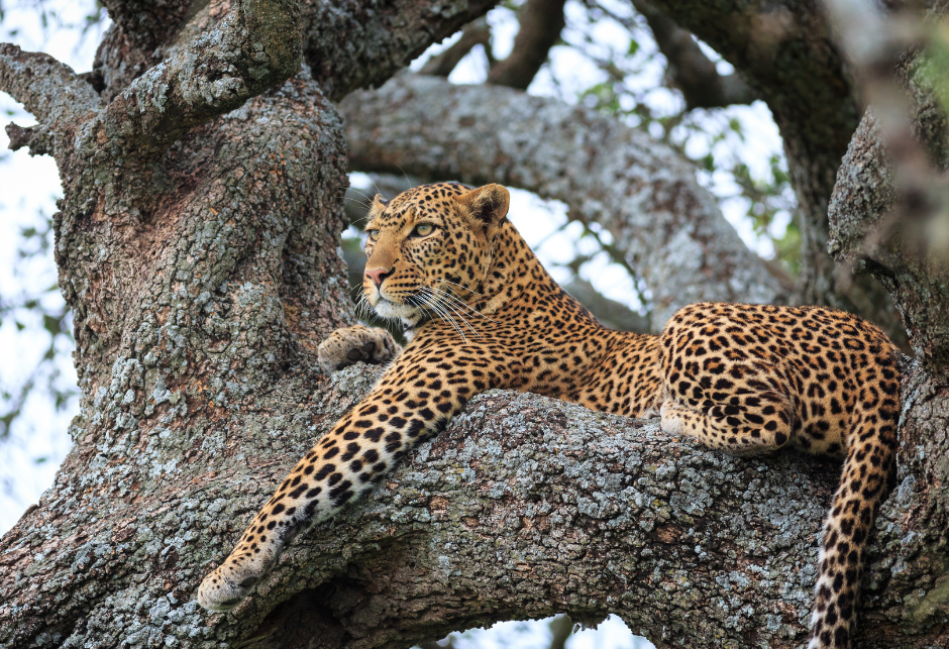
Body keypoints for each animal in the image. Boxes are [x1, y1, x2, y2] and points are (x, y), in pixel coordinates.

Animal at [198, 180, 896, 644]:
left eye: (422, 232)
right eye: (374, 234)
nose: (371, 275)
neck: (493, 285)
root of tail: (882, 346)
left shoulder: (405, 397)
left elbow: (304, 474)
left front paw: (230, 569)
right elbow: (376, 347)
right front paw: (347, 340)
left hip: (693, 319)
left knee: (772, 422)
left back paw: (670, 414)